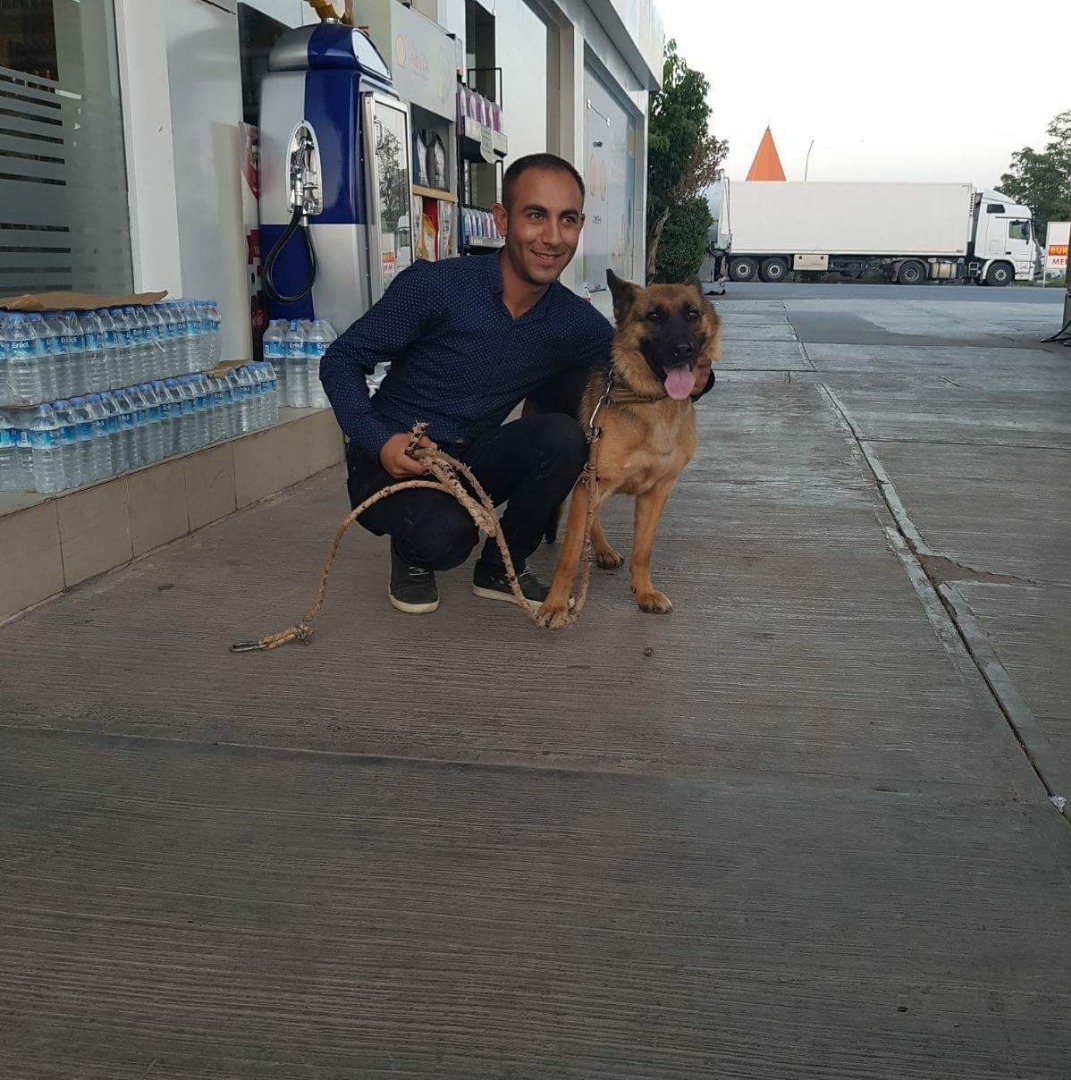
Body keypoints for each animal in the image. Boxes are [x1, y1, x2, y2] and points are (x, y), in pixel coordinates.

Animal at [527, 269, 720, 628]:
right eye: (654, 316)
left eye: (692, 314)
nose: (683, 350)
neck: (650, 402)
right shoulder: (593, 481)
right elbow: (569, 556)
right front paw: (556, 604)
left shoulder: (656, 493)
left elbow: (643, 551)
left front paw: (644, 593)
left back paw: (602, 549)